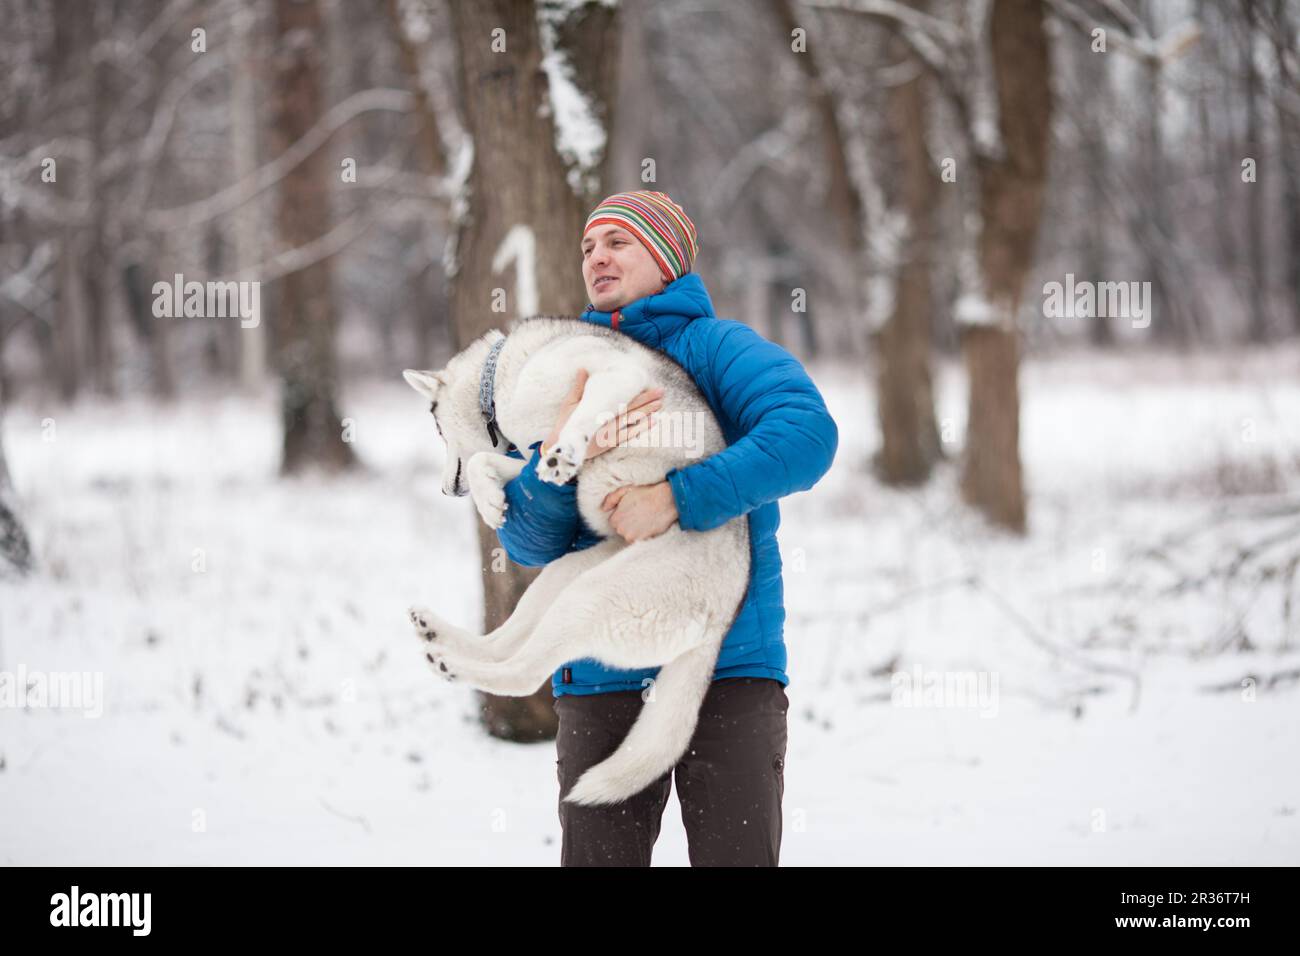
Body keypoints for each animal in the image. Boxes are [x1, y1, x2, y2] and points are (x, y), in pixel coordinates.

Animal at [405, 319, 754, 806]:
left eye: (437, 429)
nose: (444, 490)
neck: (503, 375)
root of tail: (725, 618)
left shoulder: (613, 378)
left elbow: (579, 421)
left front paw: (564, 454)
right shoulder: (529, 453)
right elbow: (492, 462)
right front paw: (493, 500)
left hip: (592, 596)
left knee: (524, 673)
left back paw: (453, 665)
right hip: (565, 576)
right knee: (504, 643)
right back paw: (438, 635)